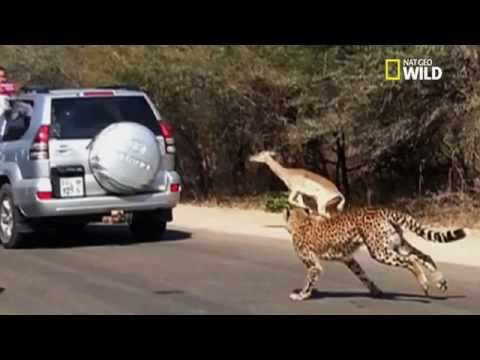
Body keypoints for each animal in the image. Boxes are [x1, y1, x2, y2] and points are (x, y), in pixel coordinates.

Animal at [284, 205, 468, 300]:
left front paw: (301, 295)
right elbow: (363, 276)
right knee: (423, 256)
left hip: (379, 251)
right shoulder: (349, 259)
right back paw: (441, 282)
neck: (301, 221)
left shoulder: (313, 265)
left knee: (411, 261)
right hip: (396, 244)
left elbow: (310, 279)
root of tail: (381, 210)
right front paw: (376, 291)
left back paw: (424, 283)